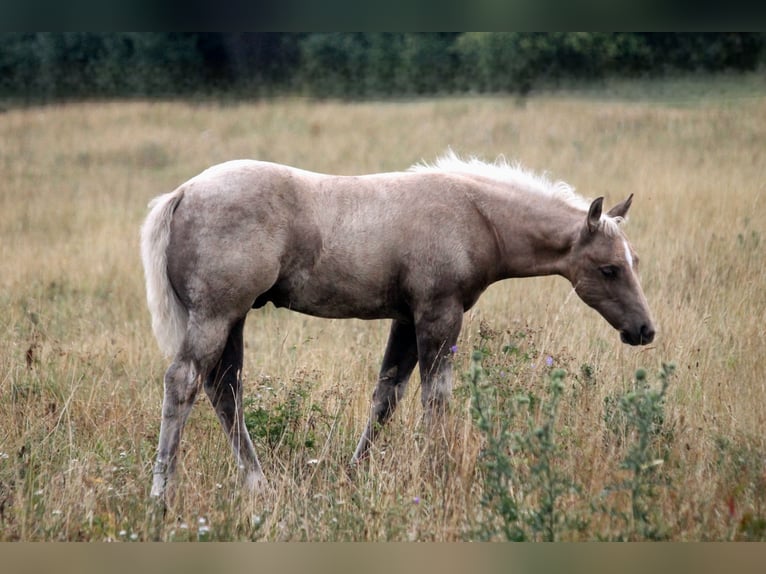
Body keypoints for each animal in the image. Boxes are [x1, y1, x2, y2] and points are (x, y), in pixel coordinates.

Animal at [140, 151, 655, 501]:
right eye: (609, 269)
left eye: (635, 261)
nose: (645, 330)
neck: (475, 214)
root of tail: (182, 193)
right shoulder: (439, 314)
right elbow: (435, 398)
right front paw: (437, 472)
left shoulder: (406, 320)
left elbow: (386, 396)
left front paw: (353, 474)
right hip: (217, 314)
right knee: (184, 381)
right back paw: (161, 495)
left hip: (235, 319)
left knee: (225, 389)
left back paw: (258, 485)